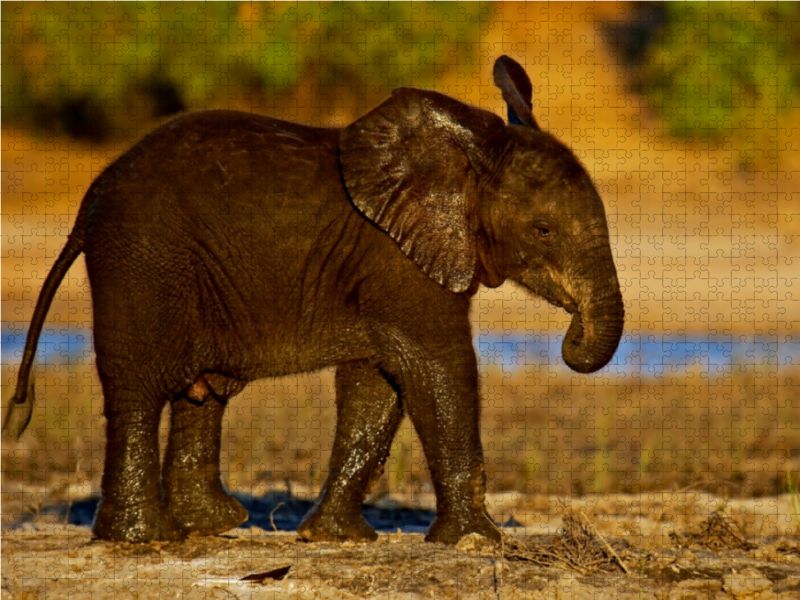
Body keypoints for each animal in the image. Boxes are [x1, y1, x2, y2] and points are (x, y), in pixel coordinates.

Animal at [4, 56, 624, 544]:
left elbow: (378, 385)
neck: (464, 161)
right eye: (544, 231)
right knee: (140, 389)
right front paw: (478, 543)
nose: (572, 337)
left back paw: (213, 525)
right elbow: (437, 368)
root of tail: (89, 203)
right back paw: (146, 537)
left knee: (200, 393)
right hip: (144, 261)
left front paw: (335, 538)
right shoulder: (395, 260)